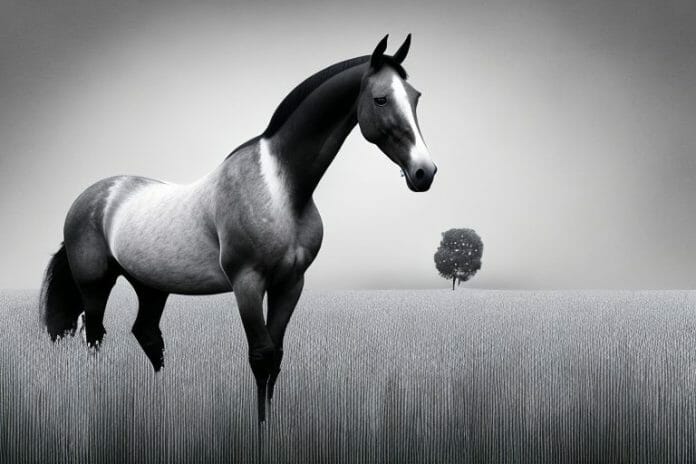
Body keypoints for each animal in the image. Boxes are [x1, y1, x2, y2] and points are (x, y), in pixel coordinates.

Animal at [40, 34, 437, 423]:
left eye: (416, 96)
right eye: (381, 98)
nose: (424, 172)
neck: (279, 189)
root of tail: (94, 196)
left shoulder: (290, 283)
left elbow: (277, 356)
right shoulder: (247, 282)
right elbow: (261, 356)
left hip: (151, 285)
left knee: (147, 334)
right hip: (95, 283)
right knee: (95, 334)